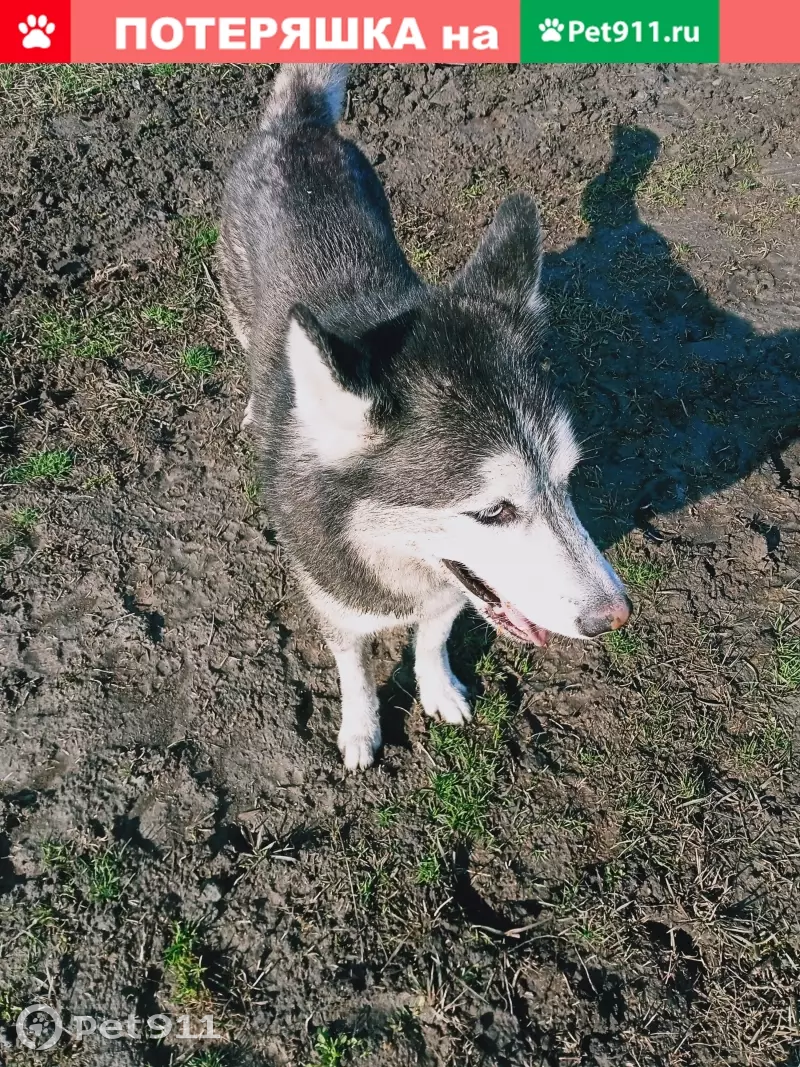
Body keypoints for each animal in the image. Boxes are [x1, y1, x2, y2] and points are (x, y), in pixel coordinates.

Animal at [219, 64, 631, 768]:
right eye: (493, 511)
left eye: (568, 479)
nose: (614, 617)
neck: (394, 561)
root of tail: (297, 123)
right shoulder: (336, 608)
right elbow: (354, 672)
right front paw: (360, 728)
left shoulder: (452, 591)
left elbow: (433, 639)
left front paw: (438, 688)